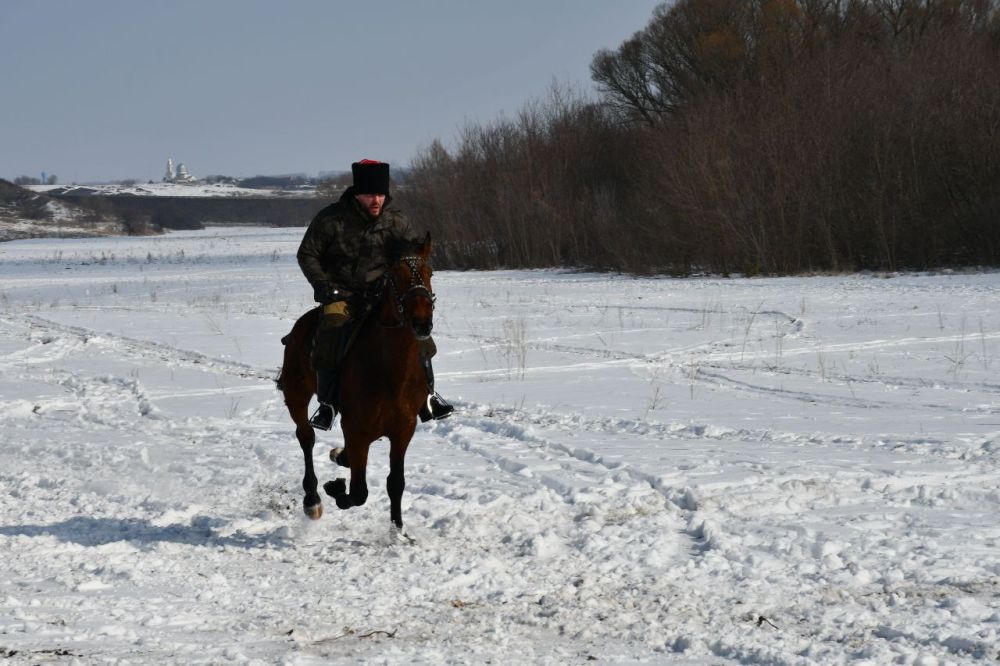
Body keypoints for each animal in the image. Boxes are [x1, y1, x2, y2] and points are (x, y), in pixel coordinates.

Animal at [282, 232, 438, 528]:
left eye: (430, 272)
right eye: (395, 276)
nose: (422, 323)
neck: (390, 370)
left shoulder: (403, 430)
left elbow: (396, 483)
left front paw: (398, 530)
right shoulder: (356, 429)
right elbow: (358, 492)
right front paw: (335, 488)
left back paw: (339, 456)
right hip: (296, 395)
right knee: (306, 436)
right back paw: (313, 500)